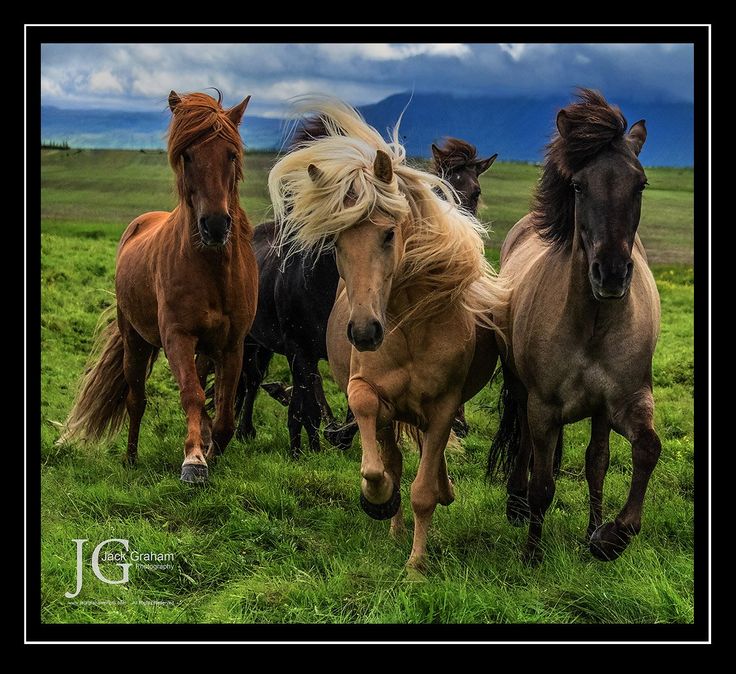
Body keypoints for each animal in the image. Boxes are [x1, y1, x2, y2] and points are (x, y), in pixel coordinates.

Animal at [59, 90, 258, 484]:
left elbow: (225, 414)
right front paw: (194, 460)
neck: (213, 271)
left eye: (231, 154)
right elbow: (192, 396)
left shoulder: (232, 344)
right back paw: (131, 458)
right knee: (136, 400)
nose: (215, 226)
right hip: (135, 341)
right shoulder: (177, 337)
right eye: (187, 154)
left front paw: (212, 452)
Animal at [268, 98, 506, 568]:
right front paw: (378, 500)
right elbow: (377, 459)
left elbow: (424, 489)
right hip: (388, 413)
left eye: (389, 233)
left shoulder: (443, 406)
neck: (412, 329)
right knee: (392, 457)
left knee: (426, 460)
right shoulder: (368, 391)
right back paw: (392, 524)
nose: (363, 332)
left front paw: (415, 566)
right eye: (336, 241)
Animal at [488, 89, 660, 560]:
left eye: (640, 184)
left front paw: (609, 536)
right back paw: (516, 505)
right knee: (526, 449)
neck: (594, 325)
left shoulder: (626, 400)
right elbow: (544, 484)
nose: (612, 274)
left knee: (596, 461)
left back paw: (592, 530)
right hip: (522, 389)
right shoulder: (544, 406)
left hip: (598, 412)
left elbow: (642, 450)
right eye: (579, 186)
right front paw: (531, 554)